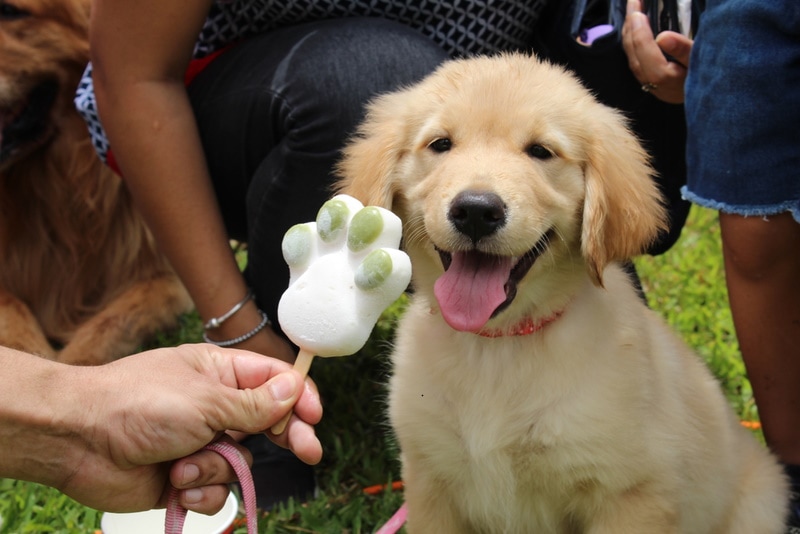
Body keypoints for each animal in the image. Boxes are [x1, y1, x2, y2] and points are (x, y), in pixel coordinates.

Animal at [336, 54, 788, 534]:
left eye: (540, 151)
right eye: (441, 144)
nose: (476, 210)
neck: (499, 348)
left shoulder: (629, 494)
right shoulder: (430, 483)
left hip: (759, 504)